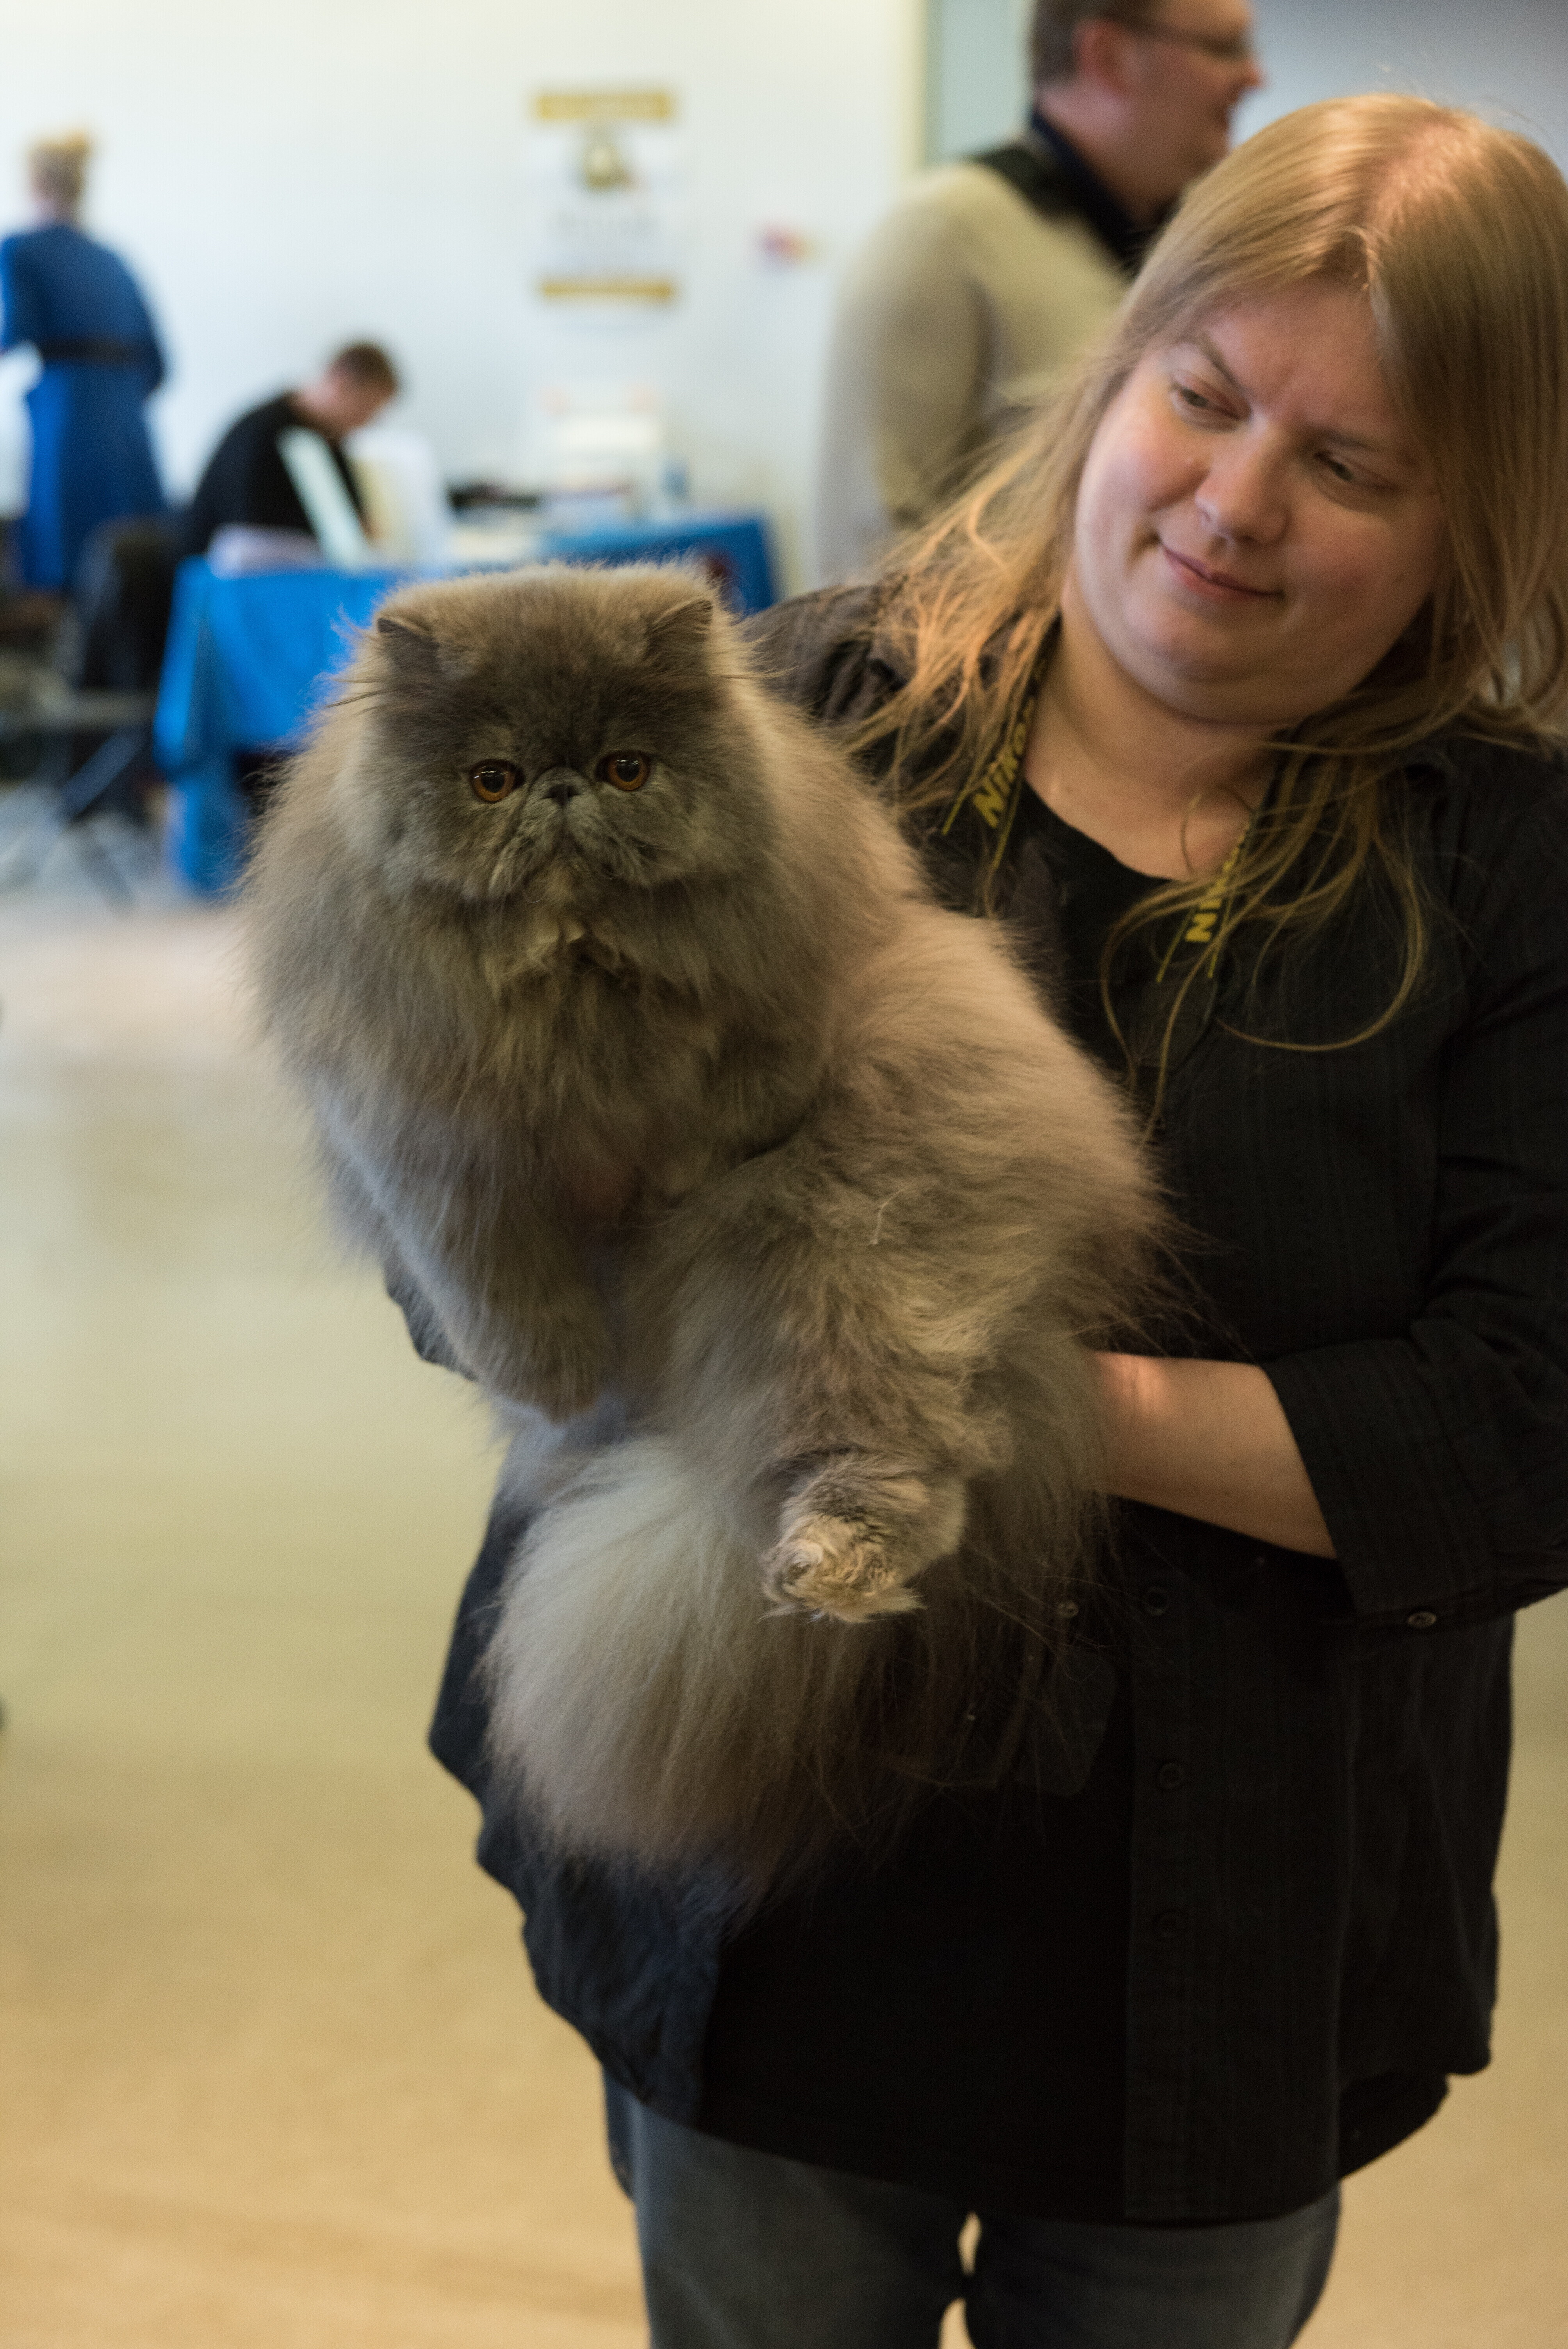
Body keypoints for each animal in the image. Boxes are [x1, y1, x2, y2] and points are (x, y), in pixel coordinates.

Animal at [245, 564, 1160, 1899]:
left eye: (627, 769)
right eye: (491, 780)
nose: (562, 791)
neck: (575, 986)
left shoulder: (784, 1018)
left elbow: (721, 1113)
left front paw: (674, 1177)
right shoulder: (430, 1148)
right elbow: (501, 1295)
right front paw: (562, 1375)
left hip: (845, 1273)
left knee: (891, 1448)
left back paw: (832, 1562)